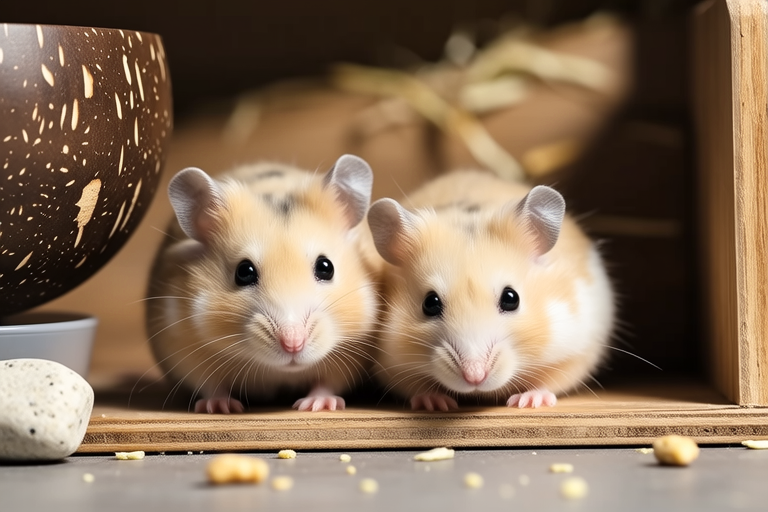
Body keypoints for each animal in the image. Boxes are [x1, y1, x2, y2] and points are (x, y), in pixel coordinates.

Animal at [145, 154, 382, 413]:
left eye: (325, 267)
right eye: (244, 272)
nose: (293, 344)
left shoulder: (350, 356)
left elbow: (329, 382)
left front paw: (314, 405)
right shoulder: (185, 348)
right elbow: (210, 384)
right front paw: (221, 407)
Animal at [367, 170, 614, 411]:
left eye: (511, 298)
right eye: (430, 303)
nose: (475, 377)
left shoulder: (577, 348)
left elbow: (551, 381)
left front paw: (526, 402)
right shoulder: (391, 365)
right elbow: (415, 387)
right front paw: (437, 404)